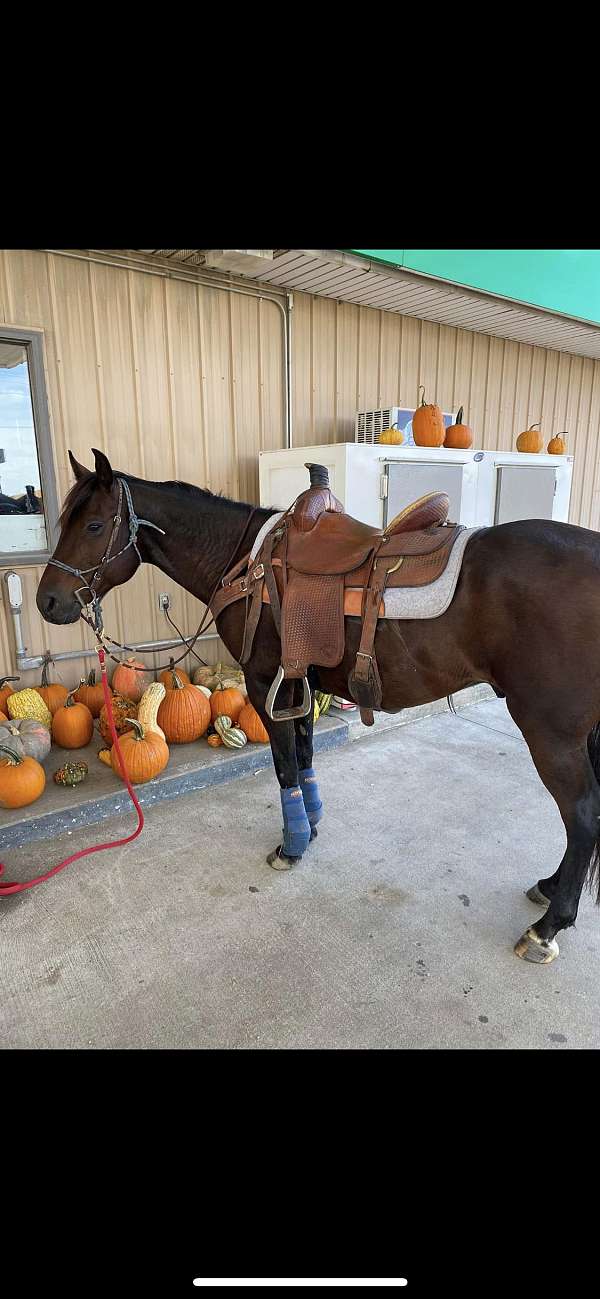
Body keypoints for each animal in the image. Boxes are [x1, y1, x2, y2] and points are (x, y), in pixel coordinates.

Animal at [36, 447, 600, 966]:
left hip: (550, 731)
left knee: (582, 814)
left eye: (93, 525)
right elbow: (305, 757)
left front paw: (292, 845)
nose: (47, 602)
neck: (245, 561)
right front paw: (312, 822)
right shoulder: (300, 681)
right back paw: (551, 888)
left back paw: (548, 926)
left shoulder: (266, 683)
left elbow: (285, 765)